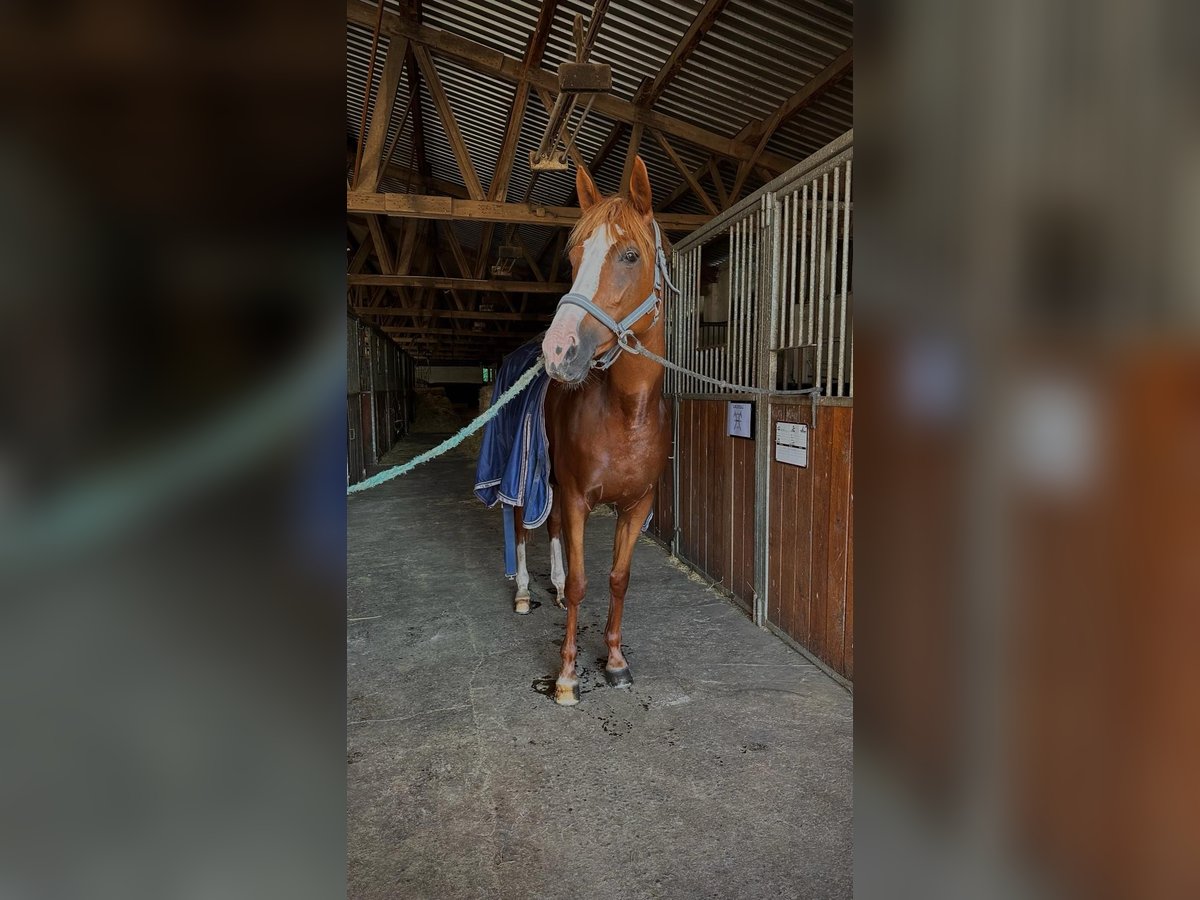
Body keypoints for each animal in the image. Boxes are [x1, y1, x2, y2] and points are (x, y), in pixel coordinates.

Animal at [511, 157, 672, 705]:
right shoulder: (580, 496)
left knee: (553, 529)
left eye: (629, 255)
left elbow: (618, 578)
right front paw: (566, 676)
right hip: (526, 479)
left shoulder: (636, 504)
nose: (558, 350)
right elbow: (585, 582)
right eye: (574, 255)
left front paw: (616, 661)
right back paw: (524, 592)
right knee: (521, 527)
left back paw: (554, 589)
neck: (626, 414)